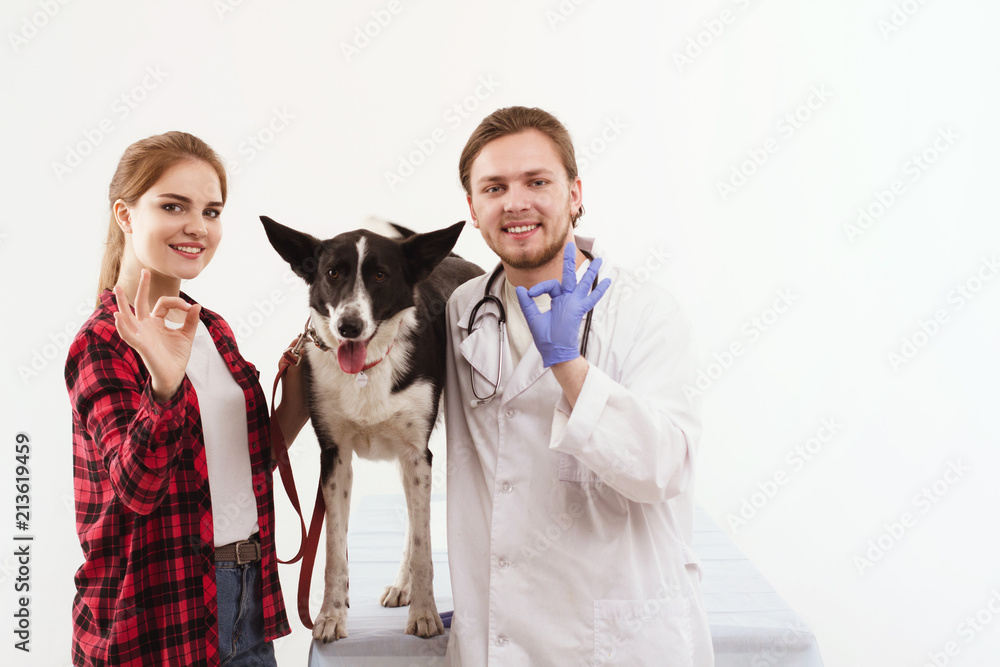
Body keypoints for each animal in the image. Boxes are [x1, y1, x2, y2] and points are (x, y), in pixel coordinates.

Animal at [260, 218, 482, 640]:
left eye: (380, 275)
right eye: (332, 273)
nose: (349, 326)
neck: (366, 369)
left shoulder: (417, 454)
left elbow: (423, 545)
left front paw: (425, 614)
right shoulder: (334, 457)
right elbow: (333, 548)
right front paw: (330, 615)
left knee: (417, 523)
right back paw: (400, 586)